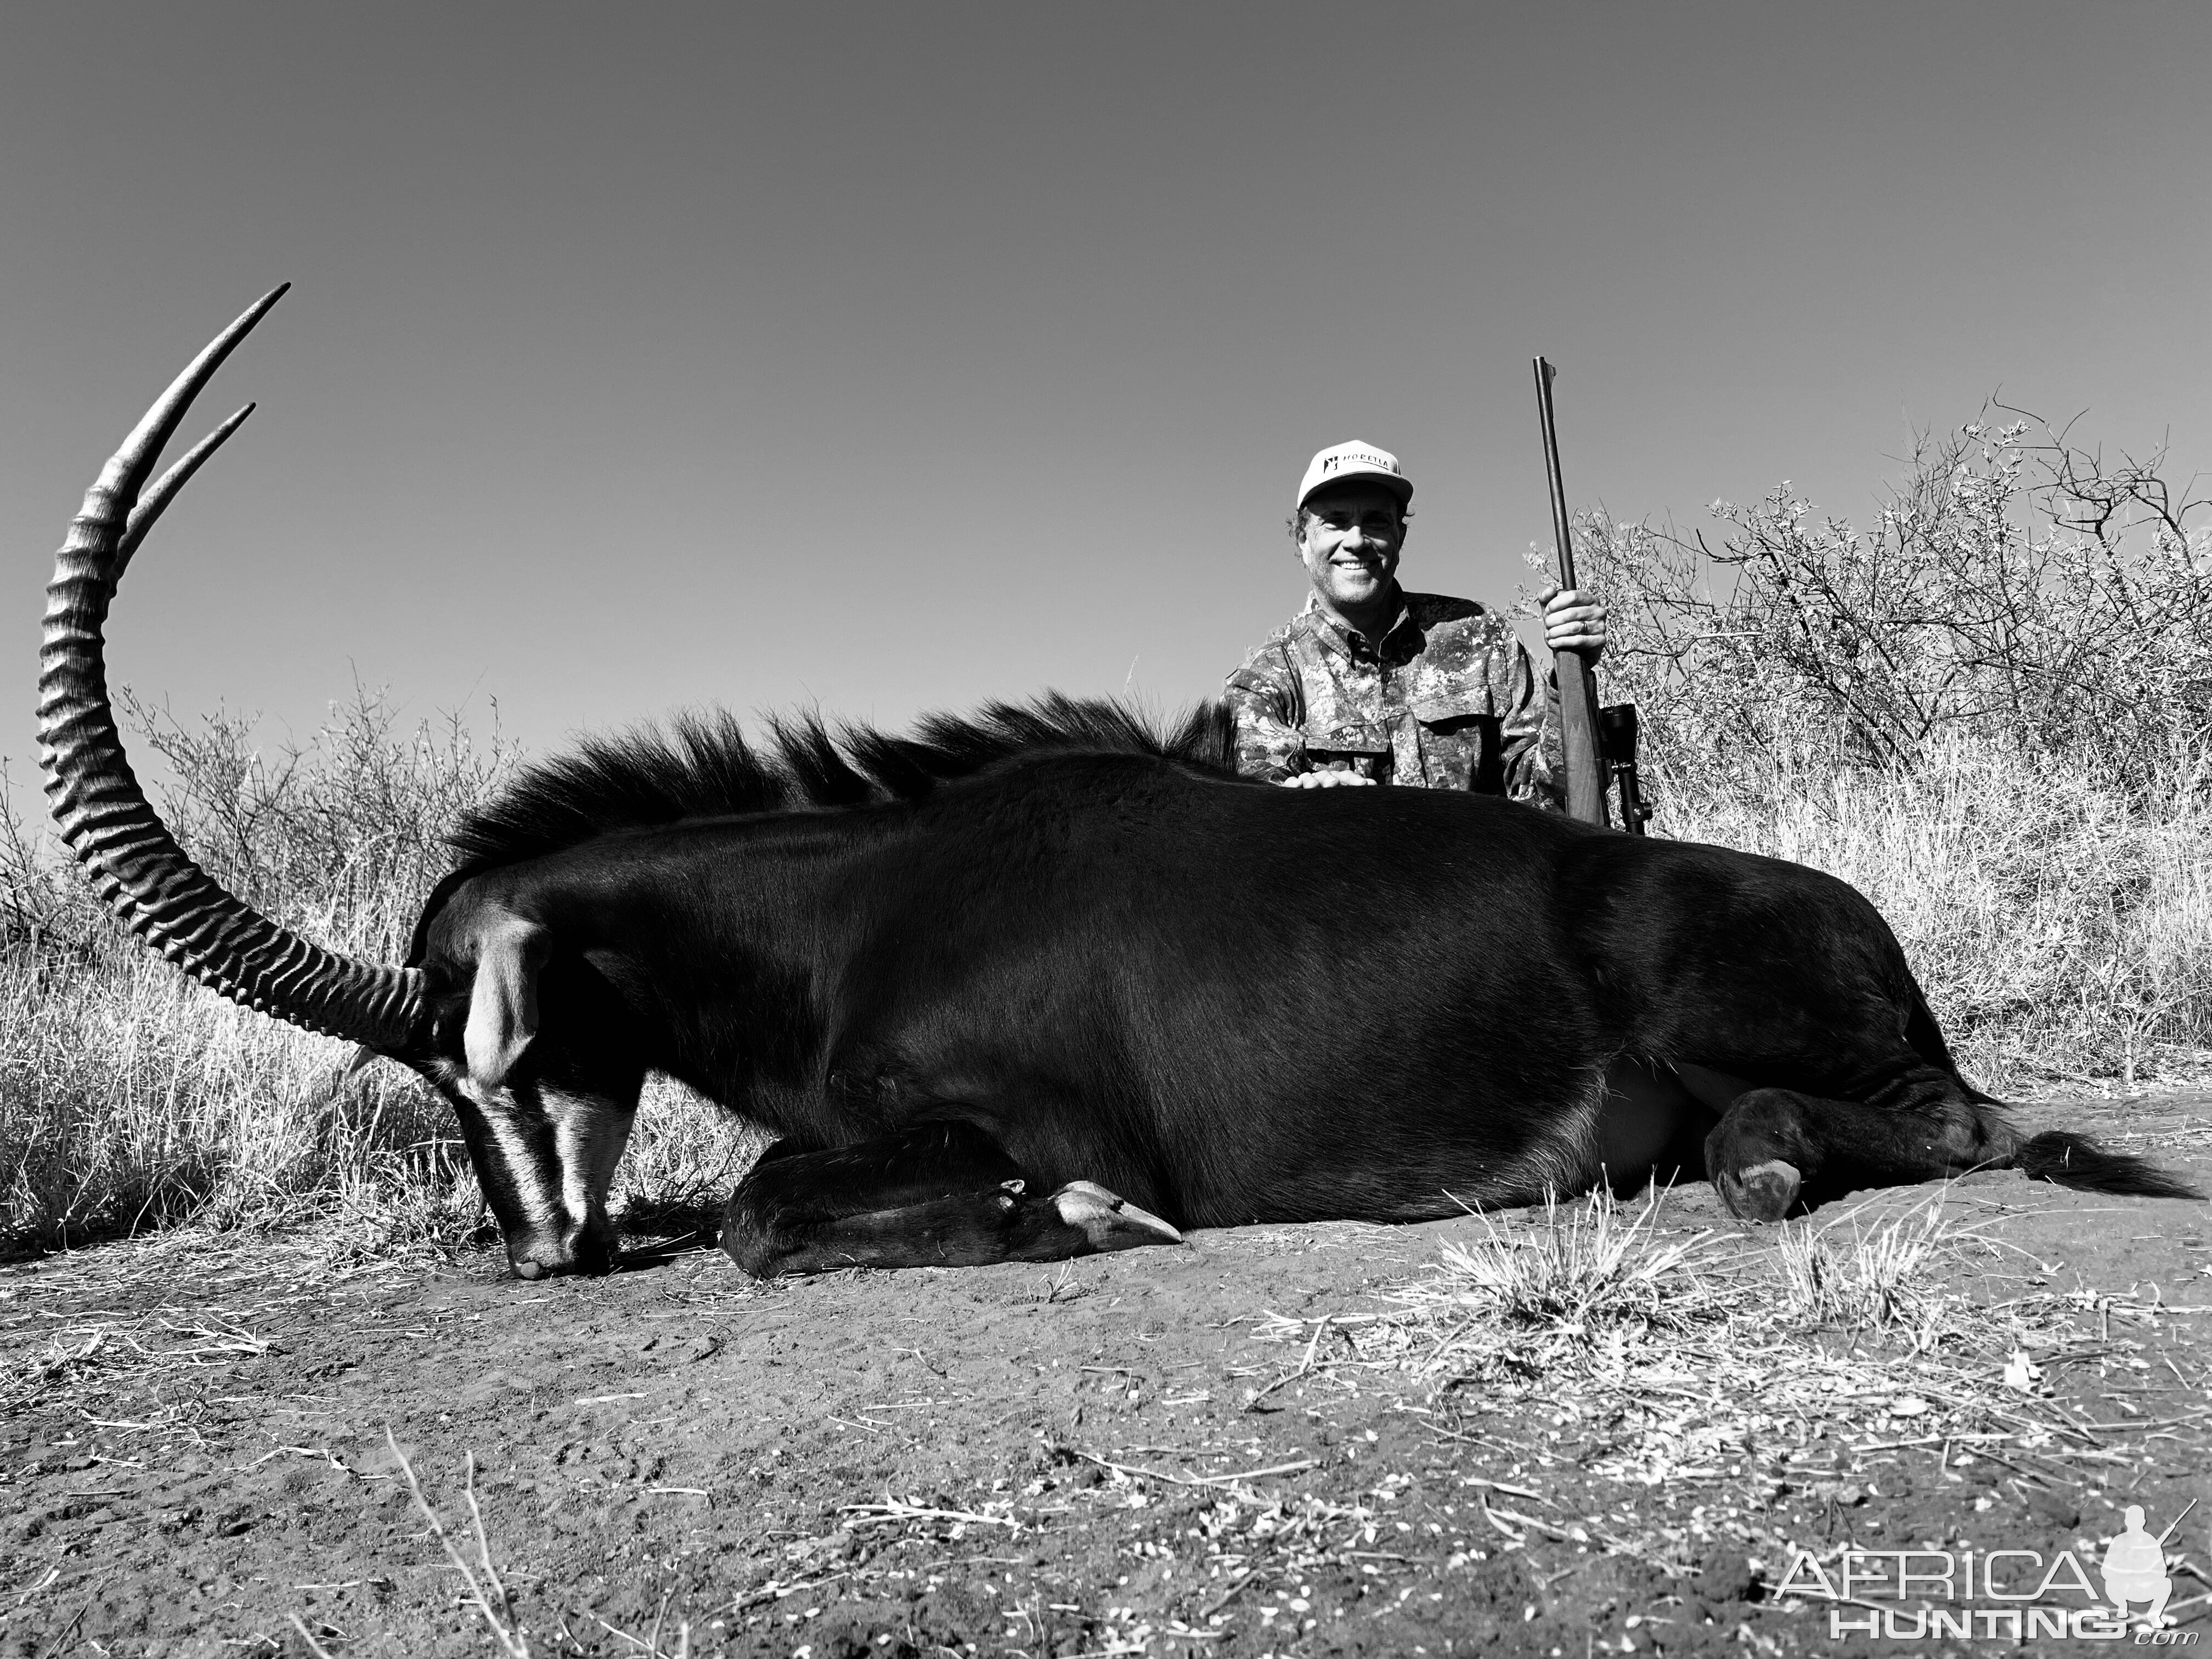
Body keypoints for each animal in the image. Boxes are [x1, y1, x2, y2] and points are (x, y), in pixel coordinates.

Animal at [35, 292, 2194, 1283]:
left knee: (1971, 1122)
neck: (863, 908)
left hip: (1755, 1011)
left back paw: (1762, 1162)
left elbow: (762, 1214)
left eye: (477, 1053)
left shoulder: (1008, 1106)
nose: (539, 1251)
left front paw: (1061, 1216)